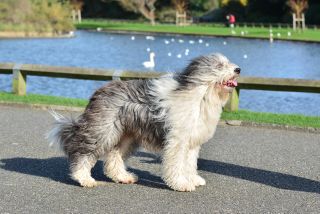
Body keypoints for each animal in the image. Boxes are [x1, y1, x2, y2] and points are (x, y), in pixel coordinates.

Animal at [47, 52, 240, 191]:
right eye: (220, 65)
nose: (238, 69)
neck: (200, 96)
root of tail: (99, 92)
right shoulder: (177, 140)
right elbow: (177, 164)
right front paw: (181, 184)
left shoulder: (191, 141)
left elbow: (190, 164)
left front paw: (193, 179)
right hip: (102, 130)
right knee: (83, 154)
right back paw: (84, 178)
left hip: (126, 135)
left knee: (114, 157)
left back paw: (123, 177)